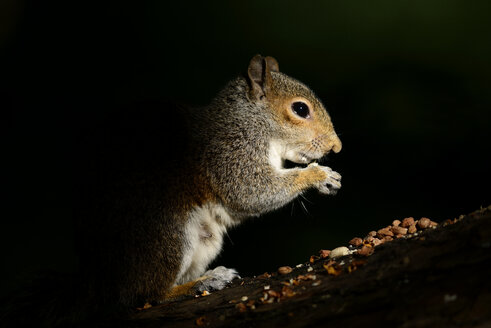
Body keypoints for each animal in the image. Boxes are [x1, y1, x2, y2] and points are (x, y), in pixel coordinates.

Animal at [1, 55, 344, 326]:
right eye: (300, 109)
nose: (336, 147)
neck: (249, 123)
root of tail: (98, 278)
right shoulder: (229, 156)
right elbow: (252, 191)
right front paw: (318, 175)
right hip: (167, 236)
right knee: (144, 295)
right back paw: (200, 283)